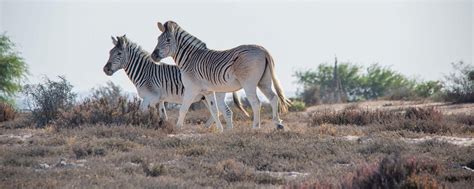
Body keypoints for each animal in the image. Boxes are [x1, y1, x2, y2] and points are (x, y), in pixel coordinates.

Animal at [102, 34, 250, 127]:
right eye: (109, 52)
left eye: (119, 53)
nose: (105, 69)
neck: (144, 72)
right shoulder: (160, 99)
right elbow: (163, 115)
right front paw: (162, 125)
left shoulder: (151, 97)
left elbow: (141, 111)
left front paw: (140, 123)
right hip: (204, 97)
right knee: (217, 112)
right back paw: (207, 127)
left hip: (215, 93)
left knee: (224, 112)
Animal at [152, 20, 292, 130]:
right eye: (158, 39)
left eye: (168, 40)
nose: (153, 56)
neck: (189, 59)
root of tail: (263, 50)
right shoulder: (208, 91)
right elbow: (215, 111)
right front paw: (221, 131)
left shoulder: (191, 88)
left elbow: (183, 109)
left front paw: (177, 129)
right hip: (264, 81)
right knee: (273, 98)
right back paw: (278, 124)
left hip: (249, 83)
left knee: (256, 103)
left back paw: (255, 128)